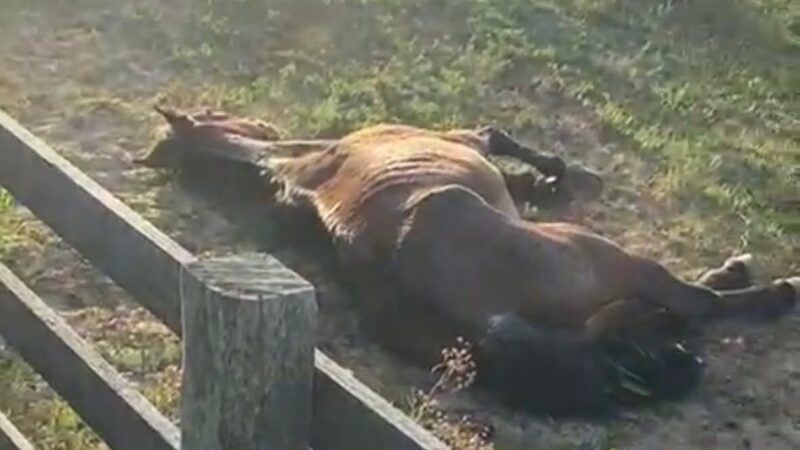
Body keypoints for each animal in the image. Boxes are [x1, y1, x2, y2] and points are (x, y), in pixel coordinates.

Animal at [135, 106, 798, 415]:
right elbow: (498, 134)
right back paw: (770, 287)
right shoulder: (465, 139)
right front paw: (558, 173)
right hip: (604, 258)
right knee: (690, 304)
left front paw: (546, 181)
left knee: (661, 317)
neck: (301, 165)